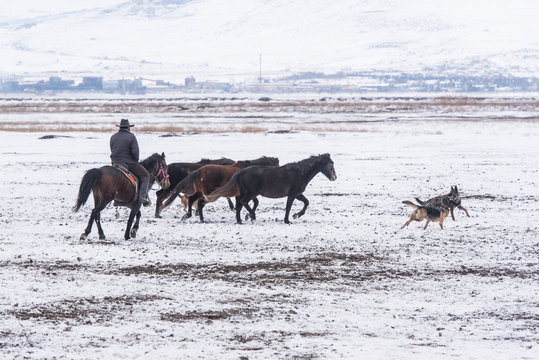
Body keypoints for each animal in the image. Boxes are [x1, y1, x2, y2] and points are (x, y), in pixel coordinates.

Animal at [207, 153, 338, 224]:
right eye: (330, 164)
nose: (334, 177)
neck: (299, 174)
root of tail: (240, 172)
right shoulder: (292, 194)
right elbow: (288, 207)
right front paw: (288, 220)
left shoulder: (298, 194)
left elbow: (306, 202)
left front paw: (296, 215)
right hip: (252, 193)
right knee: (243, 202)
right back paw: (252, 216)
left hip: (246, 193)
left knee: (239, 205)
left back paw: (240, 221)